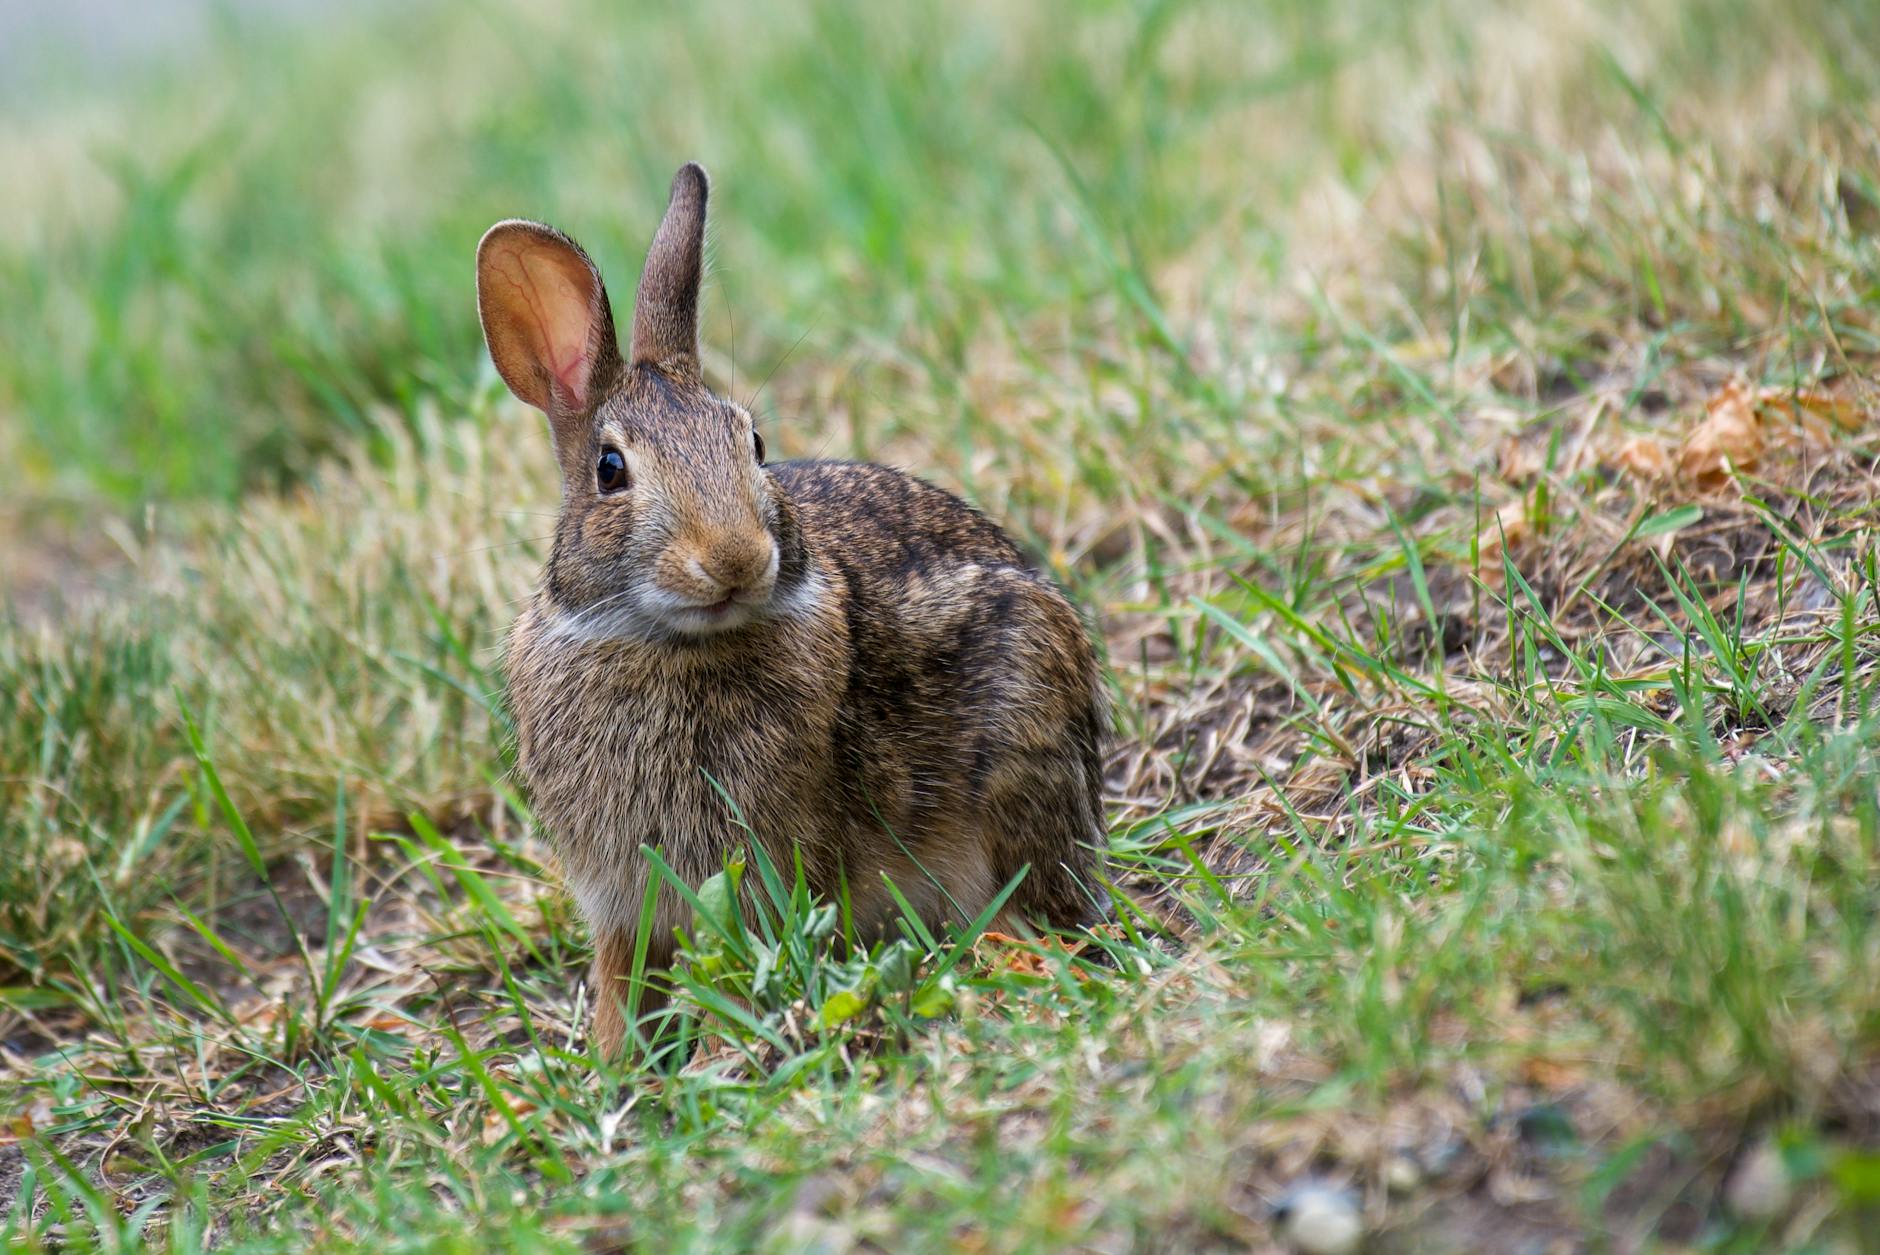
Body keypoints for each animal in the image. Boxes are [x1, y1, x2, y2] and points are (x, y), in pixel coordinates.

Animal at [476, 162, 1108, 1057]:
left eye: (755, 445)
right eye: (609, 470)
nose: (737, 558)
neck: (667, 640)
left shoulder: (761, 870)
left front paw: (713, 1049)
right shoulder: (621, 898)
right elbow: (620, 979)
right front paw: (613, 1062)